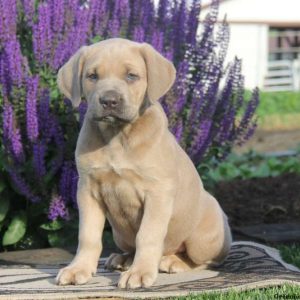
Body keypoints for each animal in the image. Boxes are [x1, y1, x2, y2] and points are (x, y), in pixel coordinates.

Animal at [54, 38, 232, 288]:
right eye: (92, 76)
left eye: (131, 76)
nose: (109, 101)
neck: (118, 136)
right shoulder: (87, 190)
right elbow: (88, 235)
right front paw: (79, 268)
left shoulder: (157, 193)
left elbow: (147, 235)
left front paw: (139, 272)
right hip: (120, 233)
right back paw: (123, 259)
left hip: (204, 240)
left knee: (206, 260)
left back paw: (173, 262)